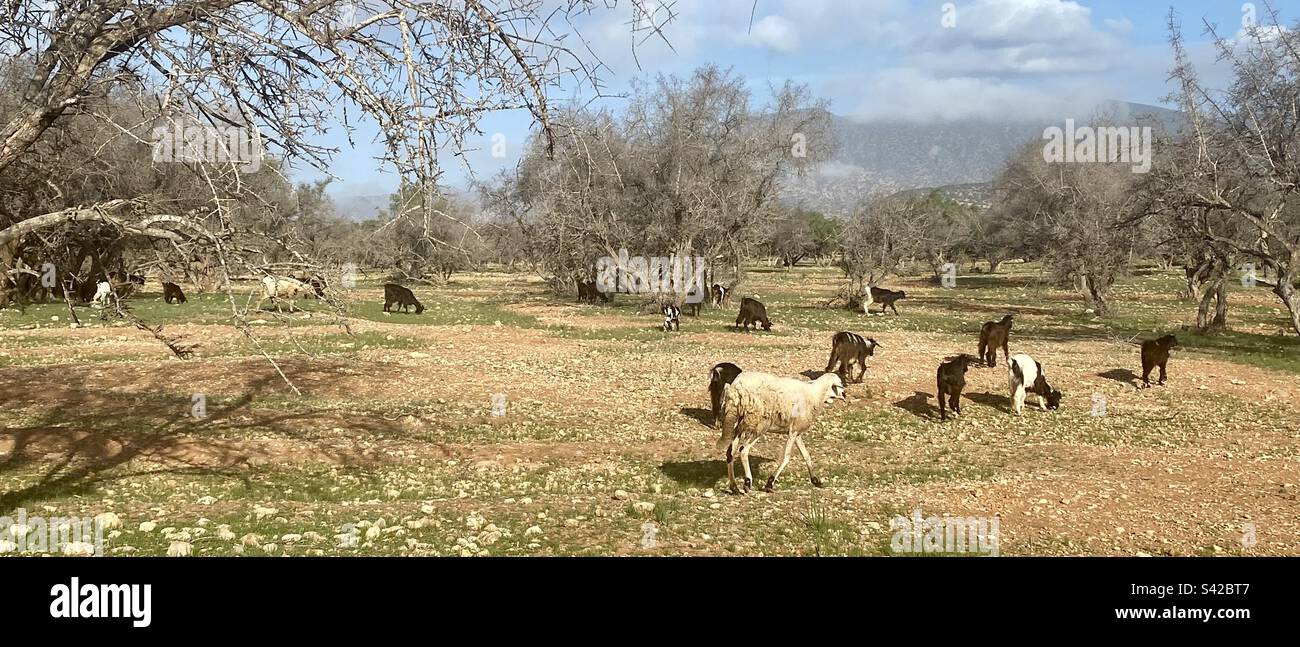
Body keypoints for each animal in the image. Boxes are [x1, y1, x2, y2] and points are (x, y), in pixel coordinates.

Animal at [716, 372, 845, 494]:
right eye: (840, 384)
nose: (845, 394)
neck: (815, 395)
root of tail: (736, 388)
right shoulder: (794, 431)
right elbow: (786, 457)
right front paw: (770, 483)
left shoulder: (796, 431)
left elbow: (806, 455)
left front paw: (815, 480)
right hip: (759, 425)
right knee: (743, 450)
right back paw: (747, 483)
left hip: (739, 423)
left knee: (730, 452)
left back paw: (734, 487)